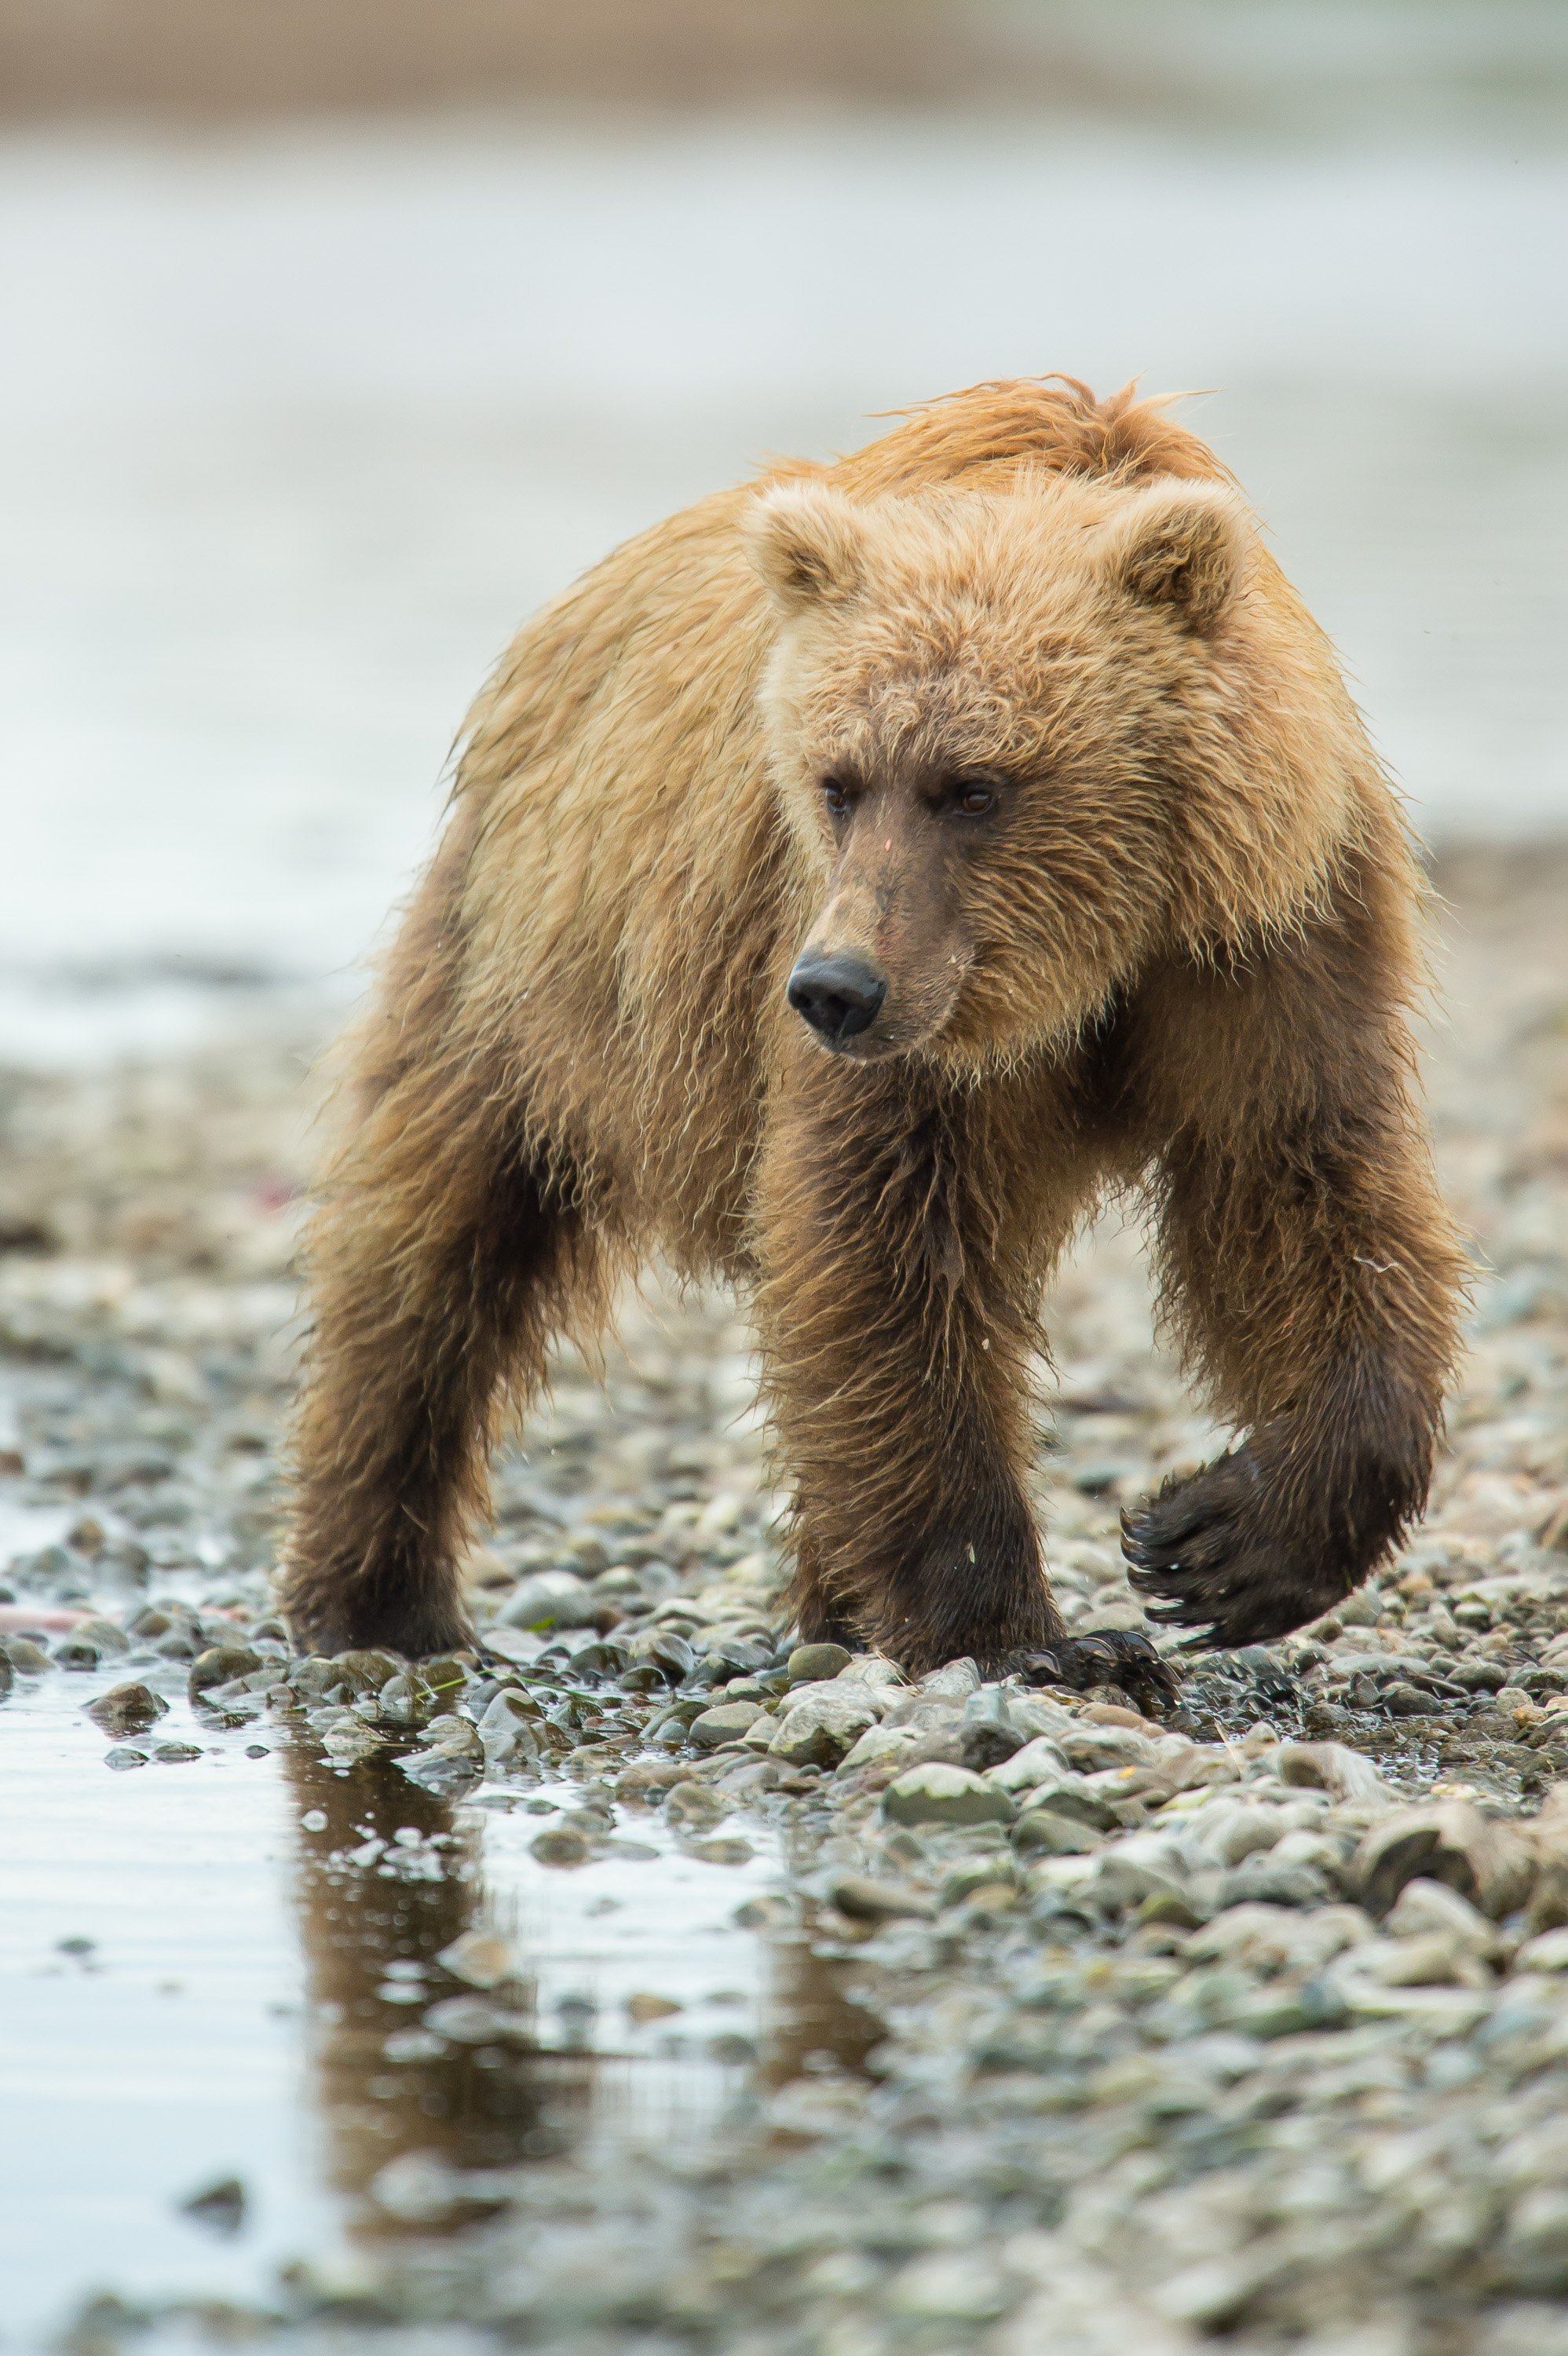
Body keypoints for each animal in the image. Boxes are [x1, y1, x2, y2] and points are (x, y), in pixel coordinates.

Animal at [282, 374, 1466, 1688]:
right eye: (839, 781)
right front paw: (1033, 1634)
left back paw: (832, 1608)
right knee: (430, 1251)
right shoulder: (874, 1011)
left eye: (976, 786)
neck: (1087, 961)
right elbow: (885, 1247)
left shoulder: (1262, 946)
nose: (836, 989)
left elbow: (1300, 1187)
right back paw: (377, 1597)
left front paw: (1221, 1545)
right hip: (528, 969)